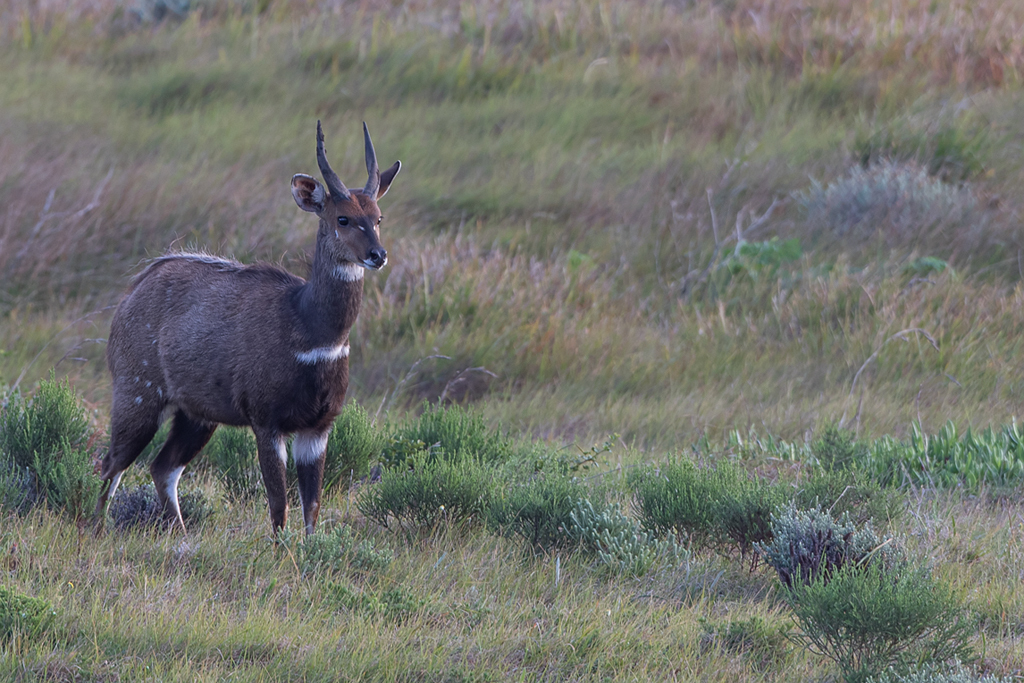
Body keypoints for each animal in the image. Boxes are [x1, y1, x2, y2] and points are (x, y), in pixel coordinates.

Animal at [95, 121, 399, 532]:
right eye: (343, 218)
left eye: (378, 217)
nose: (377, 255)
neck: (309, 328)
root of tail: (132, 291)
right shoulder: (266, 420)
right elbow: (279, 506)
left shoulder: (318, 426)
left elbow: (312, 508)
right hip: (138, 394)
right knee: (112, 465)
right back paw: (94, 529)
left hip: (197, 415)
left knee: (162, 468)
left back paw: (182, 536)